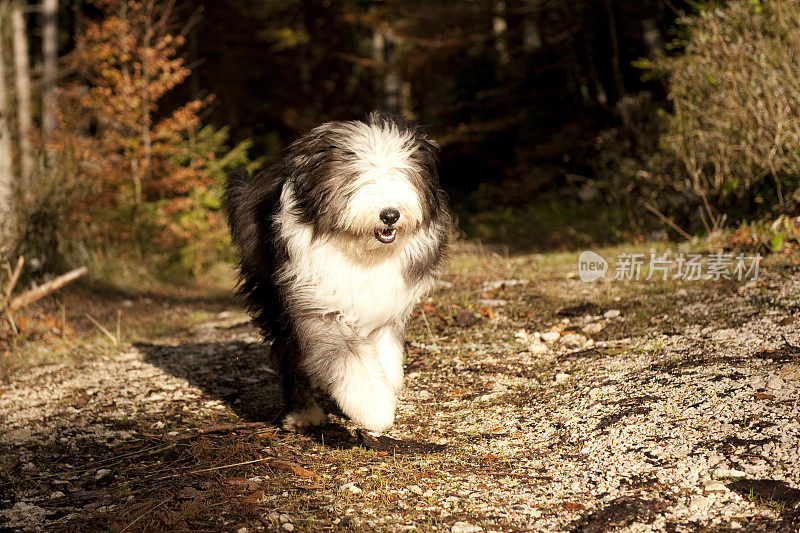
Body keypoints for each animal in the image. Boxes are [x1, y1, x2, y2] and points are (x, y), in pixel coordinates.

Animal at [225, 112, 450, 432]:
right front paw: (376, 408)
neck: (361, 251)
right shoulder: (316, 302)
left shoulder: (387, 303)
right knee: (289, 354)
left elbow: (386, 351)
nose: (390, 214)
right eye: (359, 176)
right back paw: (303, 413)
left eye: (400, 173)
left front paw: (388, 383)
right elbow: (349, 358)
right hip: (273, 297)